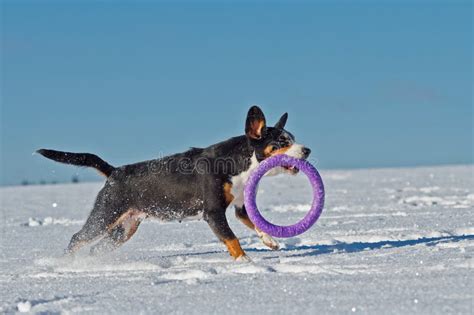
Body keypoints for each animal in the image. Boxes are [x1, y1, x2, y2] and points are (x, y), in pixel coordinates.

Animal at [37, 107, 312, 262]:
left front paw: (270, 242)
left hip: (124, 228)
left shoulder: (240, 207)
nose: (307, 150)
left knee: (95, 249)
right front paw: (246, 264)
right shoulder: (213, 212)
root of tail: (114, 172)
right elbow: (232, 239)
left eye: (292, 139)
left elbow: (256, 223)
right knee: (77, 238)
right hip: (105, 215)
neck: (240, 164)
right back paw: (62, 264)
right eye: (282, 142)